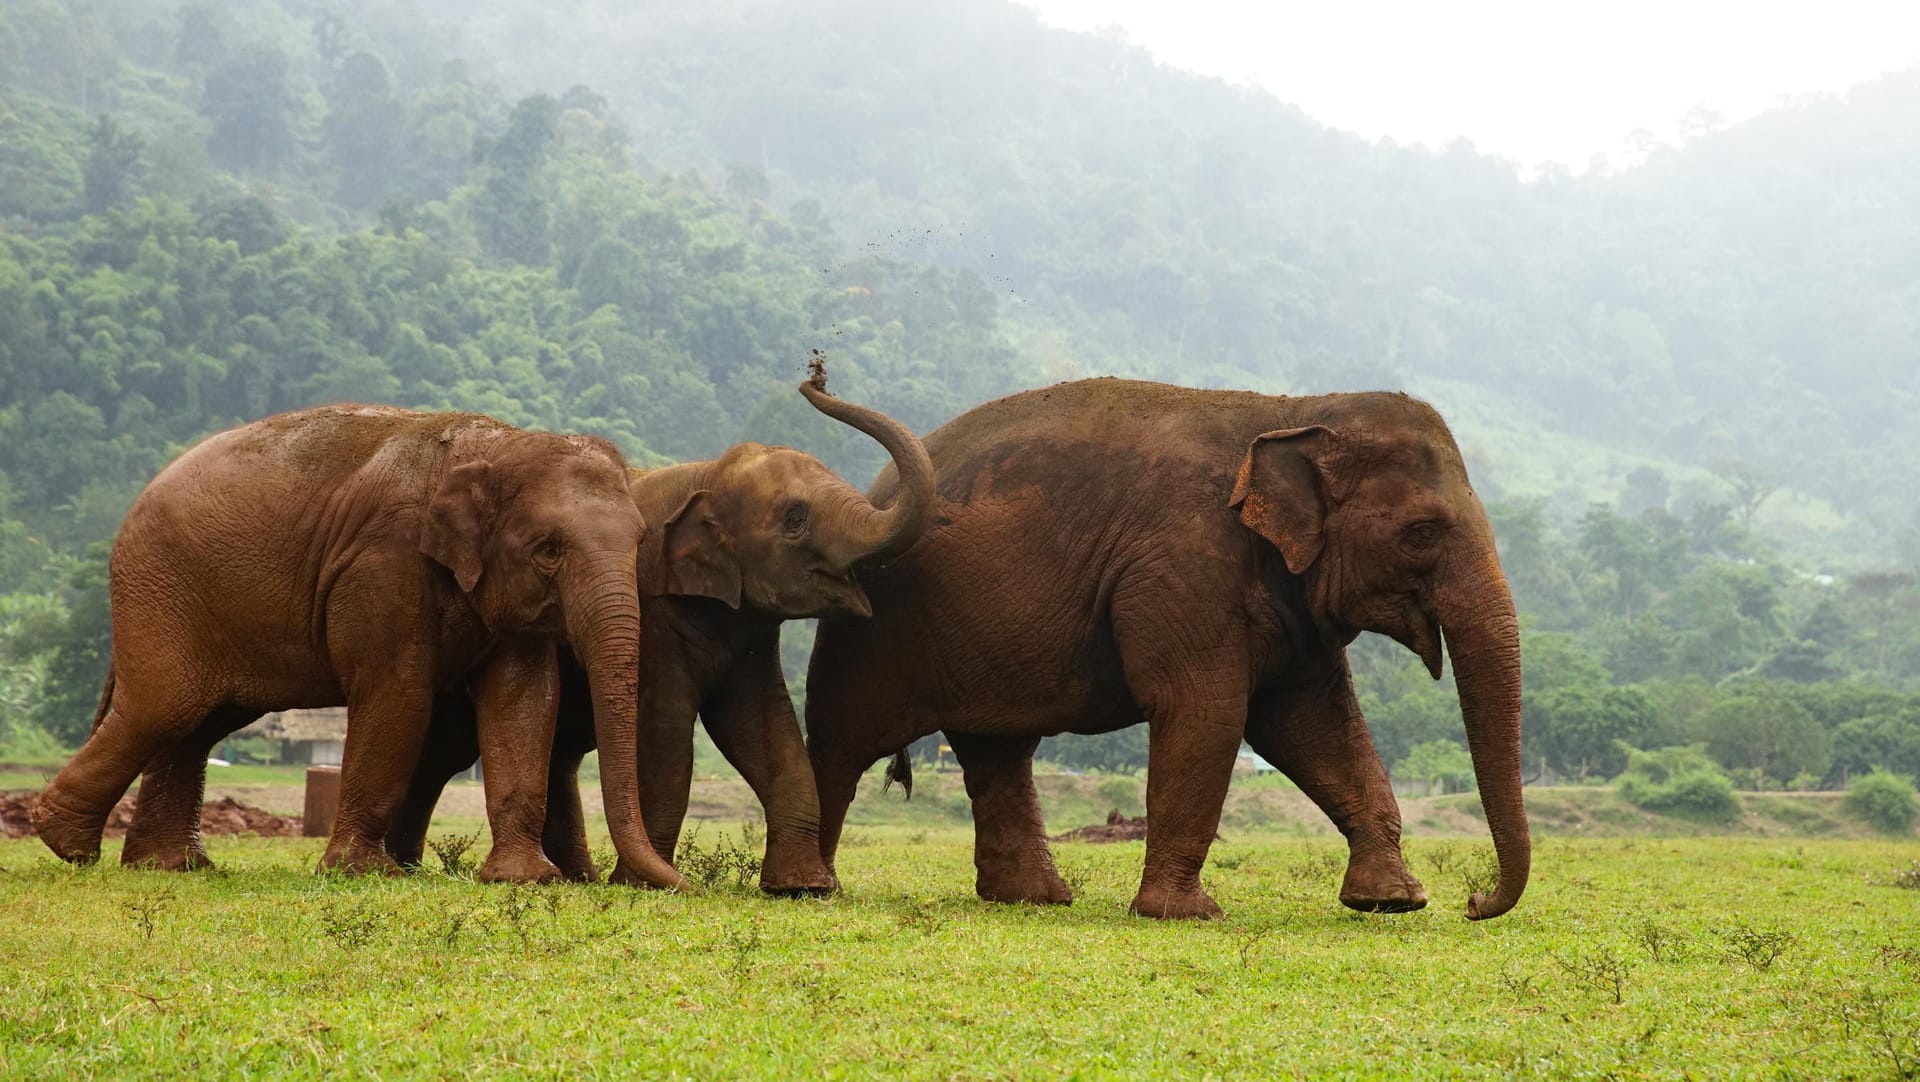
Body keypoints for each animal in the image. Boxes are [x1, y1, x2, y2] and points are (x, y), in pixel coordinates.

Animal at [28, 406, 683, 886]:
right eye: (549, 550)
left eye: (639, 542)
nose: (679, 886)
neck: (494, 443)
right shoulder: (382, 565)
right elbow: (398, 694)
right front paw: (364, 873)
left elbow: (523, 702)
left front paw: (523, 880)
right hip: (162, 589)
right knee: (165, 706)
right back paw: (64, 841)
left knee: (200, 721)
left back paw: (172, 867)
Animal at [378, 376, 933, 890]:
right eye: (795, 519)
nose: (814, 376)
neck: (707, 472)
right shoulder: (657, 614)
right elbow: (666, 733)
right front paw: (646, 882)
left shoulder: (746, 628)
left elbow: (764, 726)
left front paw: (803, 888)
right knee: (445, 748)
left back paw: (574, 877)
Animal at [806, 377, 1528, 920]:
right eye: (1422, 531)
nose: (1473, 902)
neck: (1295, 411)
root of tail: (876, 491)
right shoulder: (1183, 563)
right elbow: (1207, 711)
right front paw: (1185, 914)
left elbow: (1313, 725)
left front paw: (1392, 902)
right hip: (873, 626)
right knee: (844, 741)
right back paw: (812, 886)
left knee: (998, 752)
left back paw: (1034, 900)